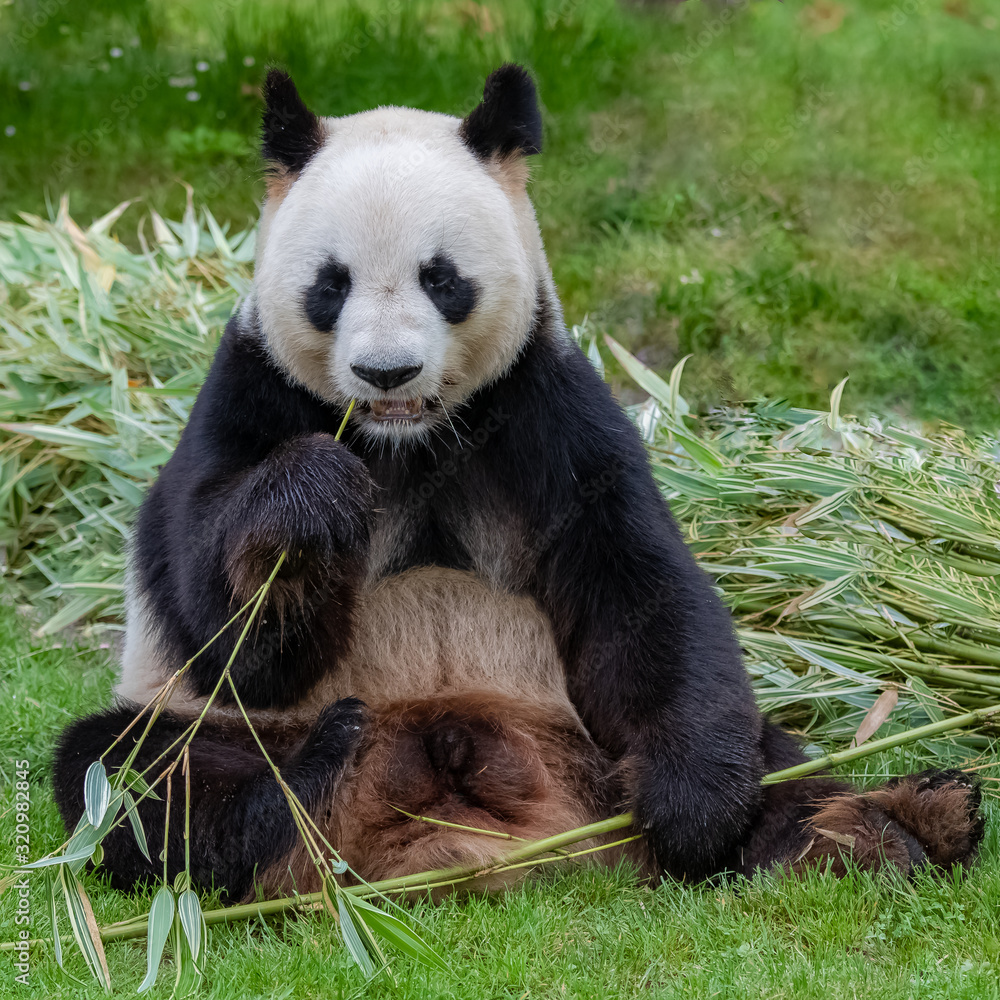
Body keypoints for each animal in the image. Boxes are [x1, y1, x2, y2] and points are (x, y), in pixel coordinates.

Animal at [53, 65, 983, 903]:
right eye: (330, 284)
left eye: (441, 278)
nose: (385, 372)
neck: (407, 441)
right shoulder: (253, 393)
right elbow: (226, 627)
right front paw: (313, 500)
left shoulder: (545, 407)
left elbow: (640, 590)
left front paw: (692, 810)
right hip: (203, 735)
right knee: (134, 777)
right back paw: (314, 771)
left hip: (594, 738)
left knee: (778, 760)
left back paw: (888, 829)